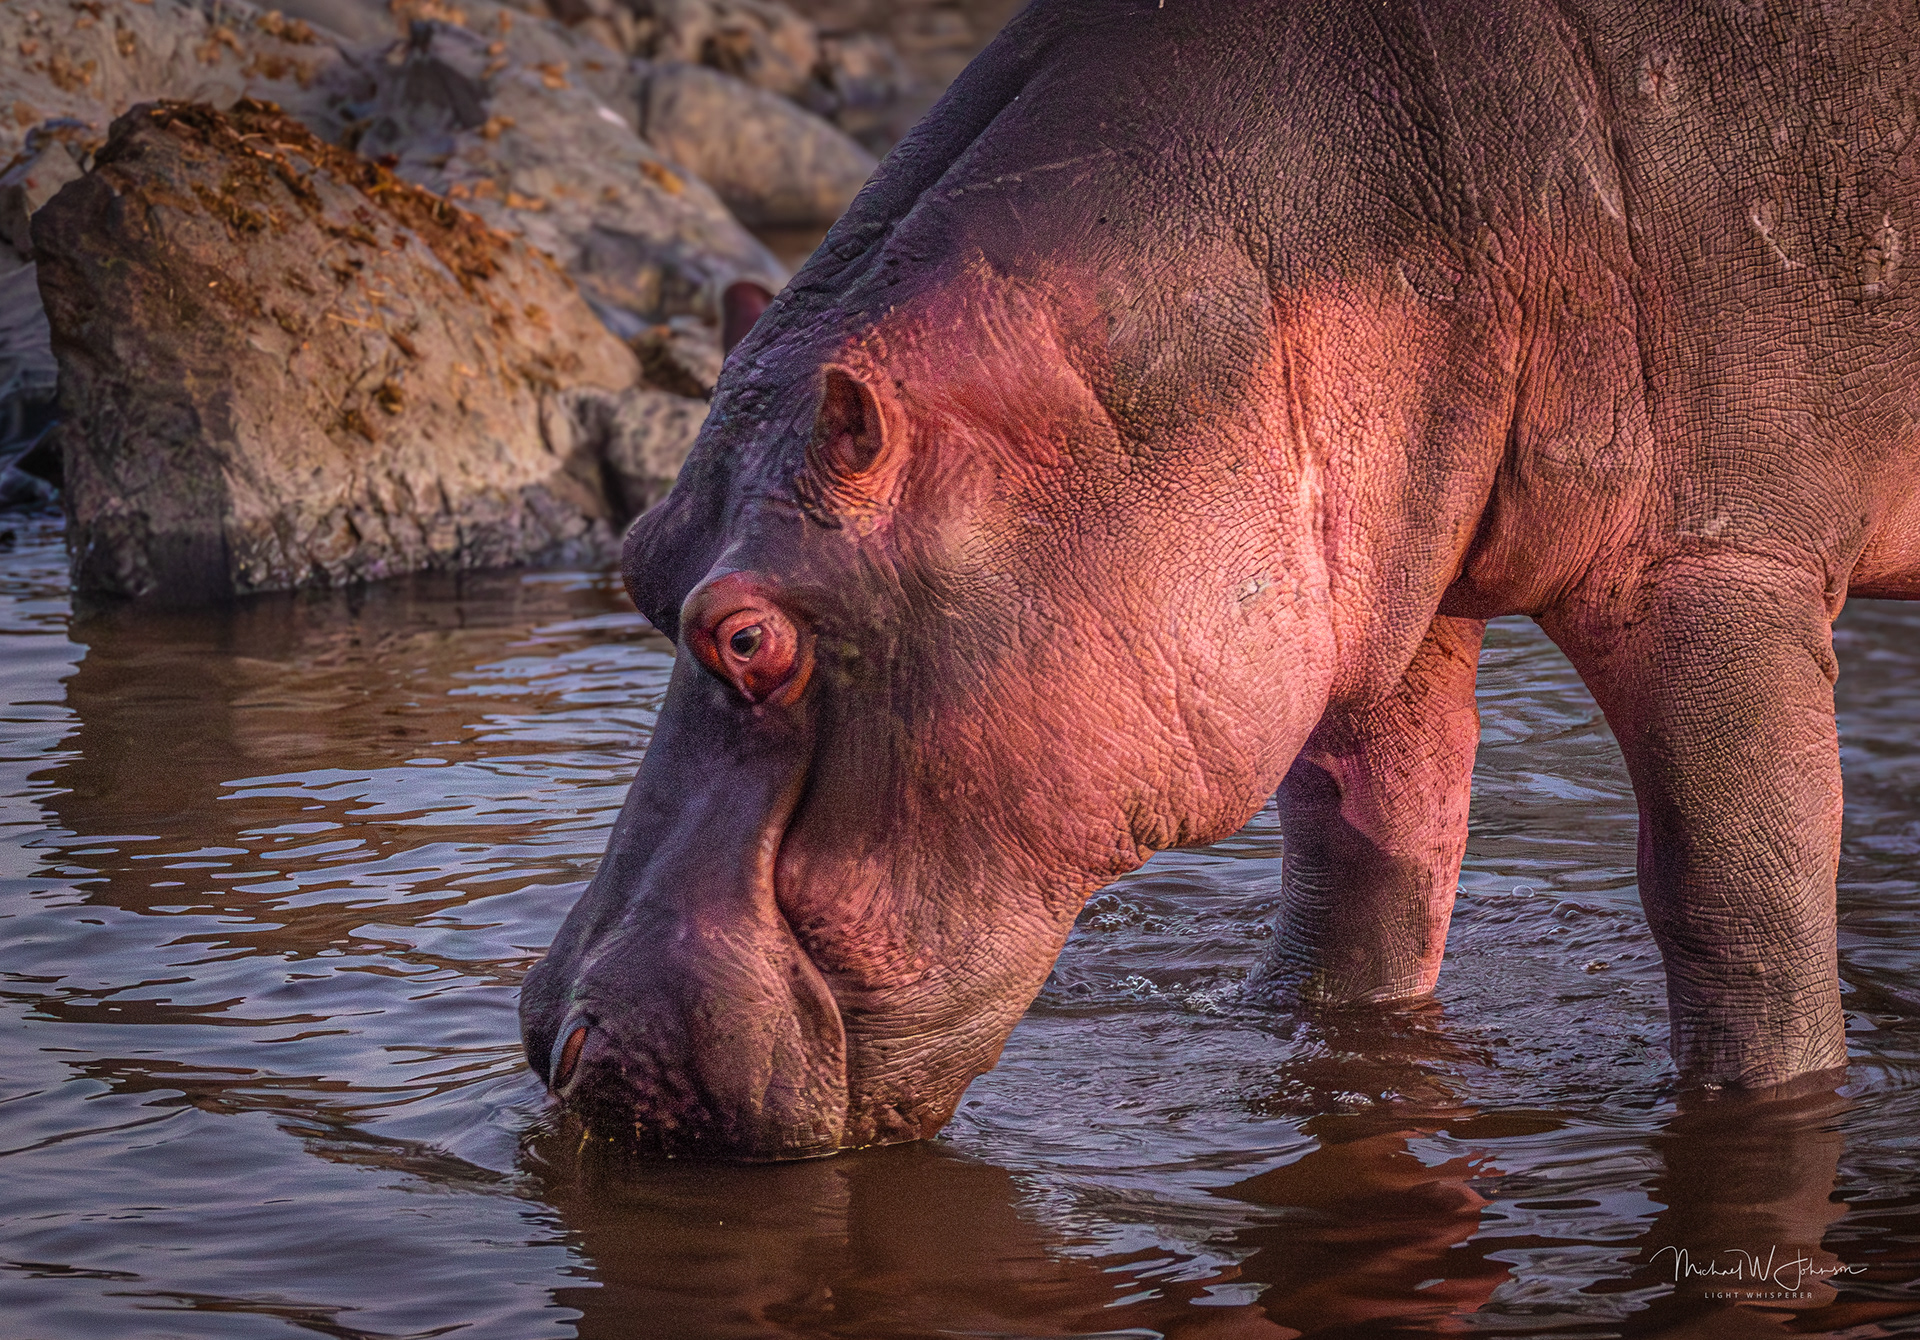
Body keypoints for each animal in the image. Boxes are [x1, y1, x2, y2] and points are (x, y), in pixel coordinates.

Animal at [520, 0, 1920, 1158]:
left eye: (748, 637)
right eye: (638, 556)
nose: (556, 1040)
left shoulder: (1718, 552)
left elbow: (1736, 896)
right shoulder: (1376, 605)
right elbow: (1366, 868)